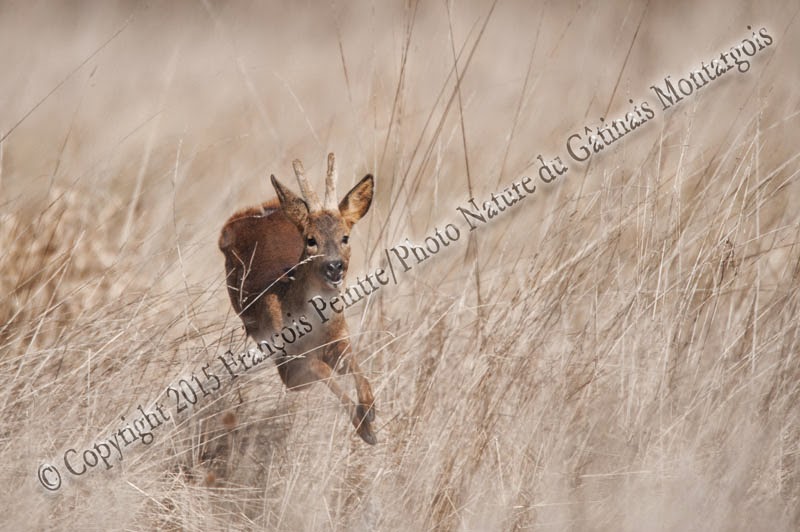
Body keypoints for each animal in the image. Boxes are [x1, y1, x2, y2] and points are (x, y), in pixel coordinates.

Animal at [219, 153, 378, 444]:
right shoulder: (289, 366)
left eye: (345, 237)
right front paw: (364, 426)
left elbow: (354, 364)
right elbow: (321, 369)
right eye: (311, 240)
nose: (335, 267)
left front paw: (369, 408)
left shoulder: (340, 335)